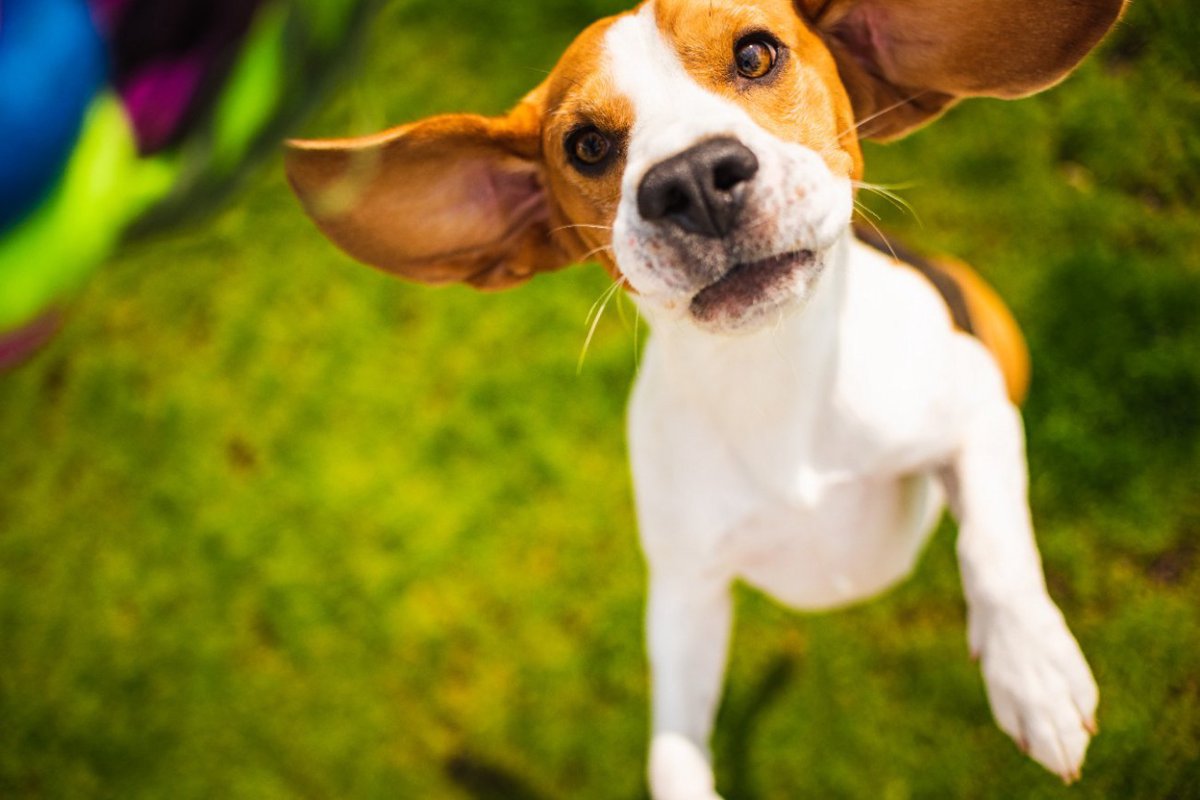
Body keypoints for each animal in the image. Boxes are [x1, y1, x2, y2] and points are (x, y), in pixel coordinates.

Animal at [280, 3, 1123, 796]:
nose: (689, 179)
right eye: (587, 145)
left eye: (755, 55)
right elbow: (672, 751)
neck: (769, 370)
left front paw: (1033, 672)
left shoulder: (976, 407)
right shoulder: (686, 594)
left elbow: (992, 545)